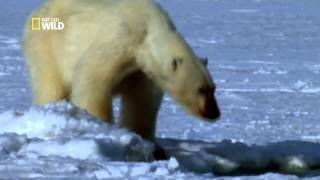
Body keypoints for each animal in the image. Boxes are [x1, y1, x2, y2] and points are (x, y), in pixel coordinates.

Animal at [23, 0, 221, 155]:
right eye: (201, 89)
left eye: (213, 88)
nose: (215, 113)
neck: (148, 29)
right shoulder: (121, 39)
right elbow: (93, 78)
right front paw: (104, 130)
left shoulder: (142, 71)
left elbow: (142, 101)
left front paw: (154, 147)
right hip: (47, 44)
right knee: (51, 85)